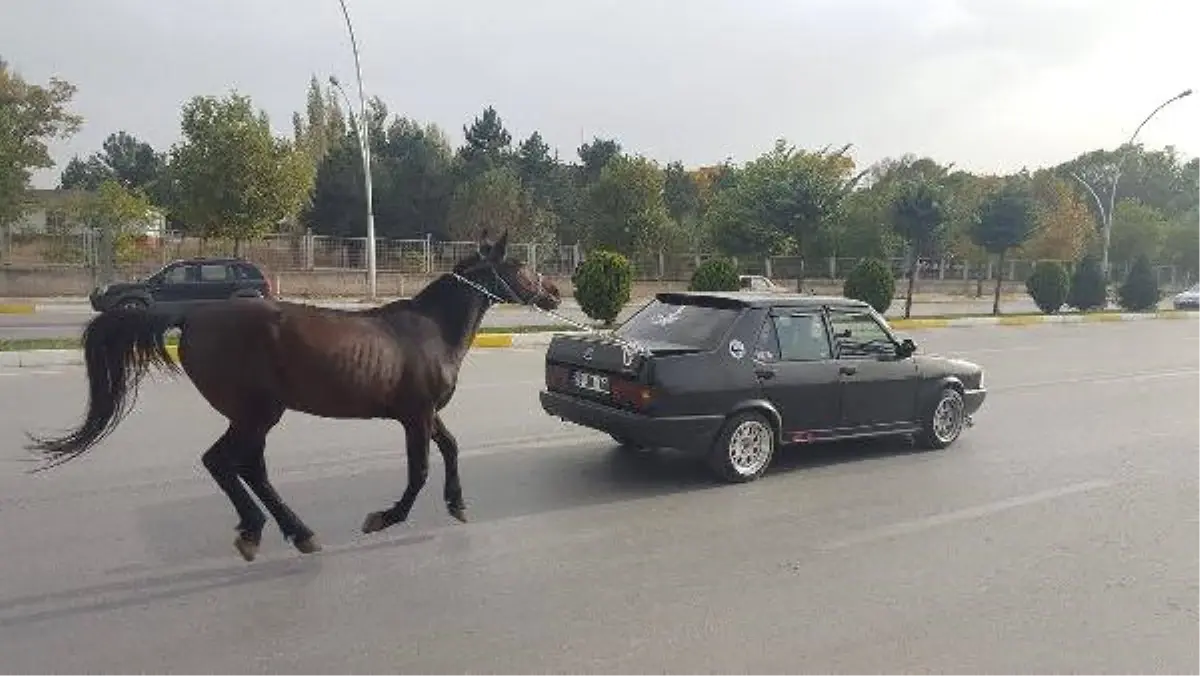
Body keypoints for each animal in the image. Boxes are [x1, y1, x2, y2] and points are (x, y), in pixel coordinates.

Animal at [27, 231, 561, 561]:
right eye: (520, 265)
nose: (554, 291)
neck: (429, 330)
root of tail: (193, 316)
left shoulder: (425, 413)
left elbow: (449, 447)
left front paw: (458, 503)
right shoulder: (415, 415)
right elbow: (420, 471)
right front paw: (383, 518)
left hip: (257, 415)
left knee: (247, 468)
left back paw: (285, 531)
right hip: (256, 412)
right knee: (225, 463)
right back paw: (272, 530)